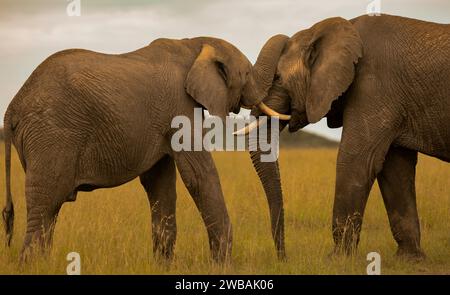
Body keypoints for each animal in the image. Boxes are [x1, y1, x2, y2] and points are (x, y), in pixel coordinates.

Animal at [1, 36, 258, 264]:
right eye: (247, 74)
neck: (194, 44)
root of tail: (13, 106)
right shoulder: (180, 105)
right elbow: (197, 175)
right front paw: (222, 266)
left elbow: (158, 183)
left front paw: (163, 267)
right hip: (52, 136)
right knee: (46, 205)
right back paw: (33, 266)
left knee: (47, 211)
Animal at [239, 14, 450, 260]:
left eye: (278, 78)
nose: (283, 257)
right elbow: (396, 168)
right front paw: (409, 260)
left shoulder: (374, 88)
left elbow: (356, 161)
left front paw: (337, 260)